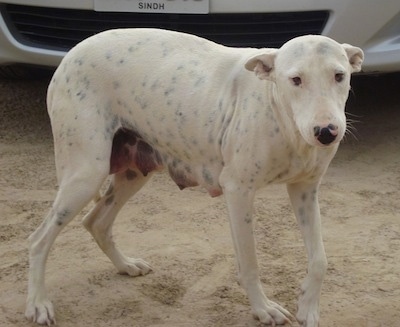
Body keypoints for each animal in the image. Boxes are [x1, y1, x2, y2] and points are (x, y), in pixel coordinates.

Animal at [24, 29, 362, 326]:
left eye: (339, 76)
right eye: (295, 80)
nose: (326, 132)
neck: (278, 111)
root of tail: (71, 54)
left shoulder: (305, 190)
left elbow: (319, 260)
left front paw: (308, 308)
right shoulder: (238, 191)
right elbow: (250, 263)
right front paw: (263, 309)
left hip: (132, 174)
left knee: (97, 222)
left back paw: (126, 265)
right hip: (85, 175)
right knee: (38, 240)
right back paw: (38, 304)